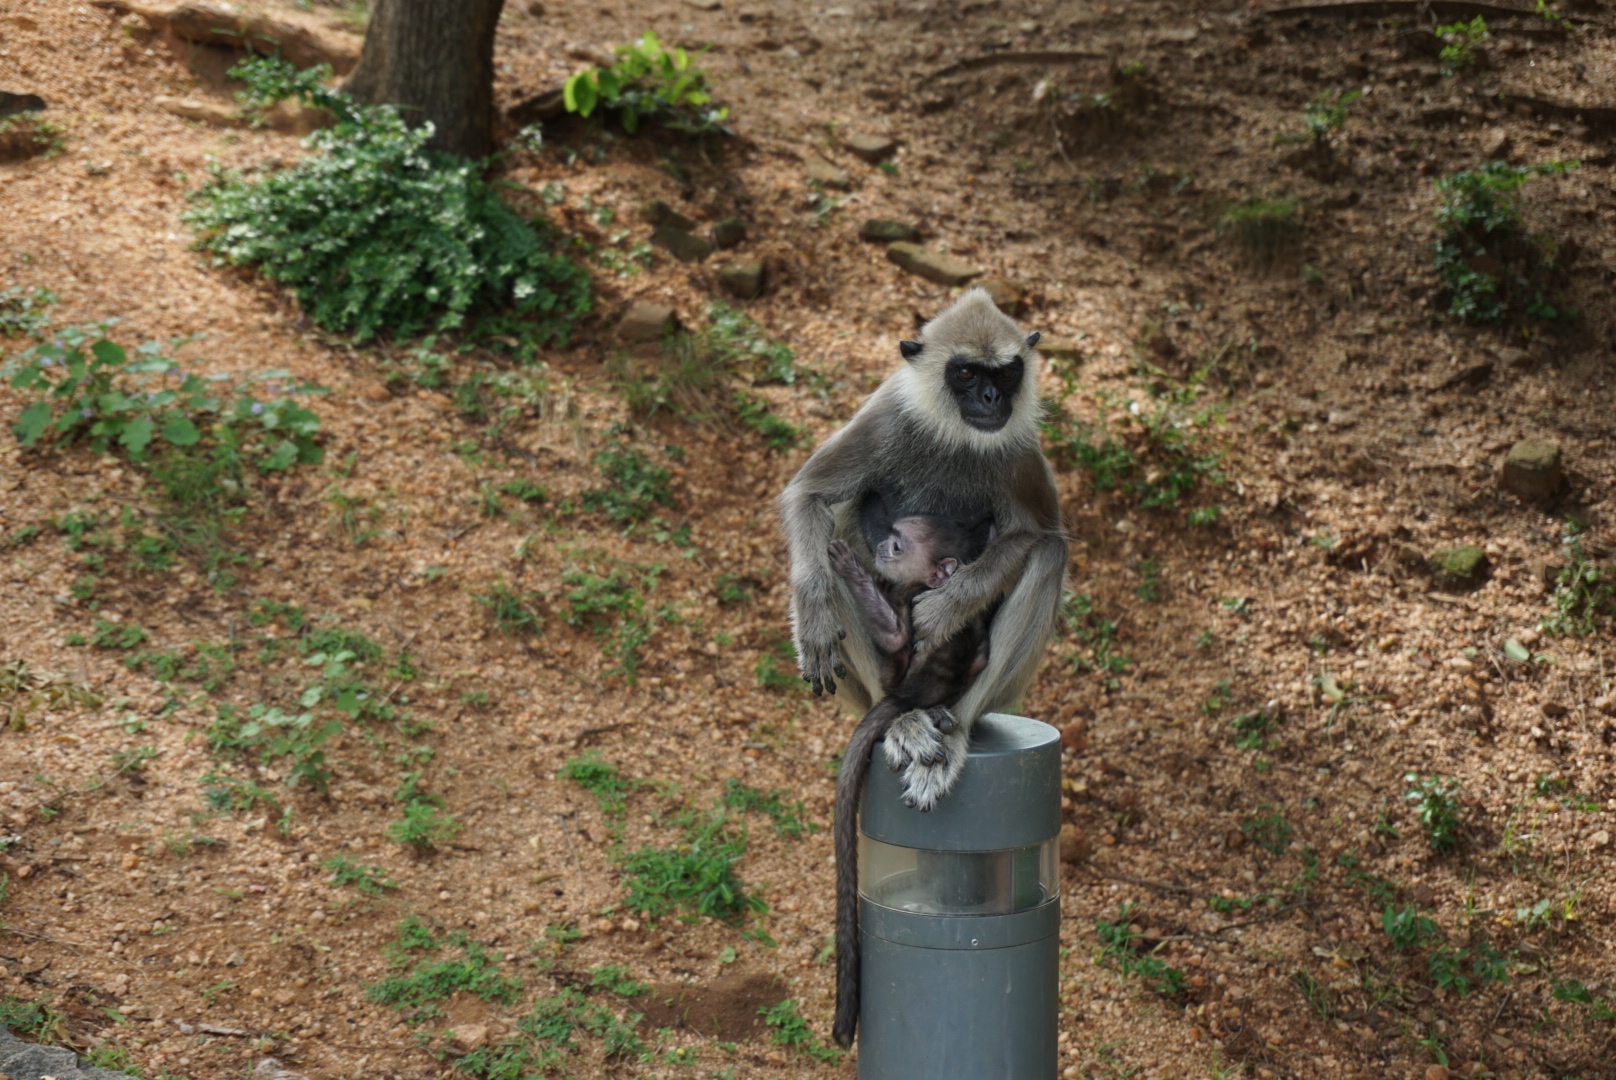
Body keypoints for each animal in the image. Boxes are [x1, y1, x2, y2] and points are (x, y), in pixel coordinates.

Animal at [775, 286, 1066, 808]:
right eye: (967, 373)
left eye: (1005, 373)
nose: (991, 397)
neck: (956, 434)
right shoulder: (887, 415)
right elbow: (807, 495)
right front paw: (814, 616)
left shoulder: (1018, 443)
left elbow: (1037, 533)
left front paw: (948, 606)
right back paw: (900, 714)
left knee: (1051, 555)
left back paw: (954, 727)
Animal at [827, 514, 988, 1047]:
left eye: (899, 544)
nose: (880, 546)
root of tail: (912, 692)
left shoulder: (915, 598)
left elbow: (900, 636)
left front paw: (852, 570)